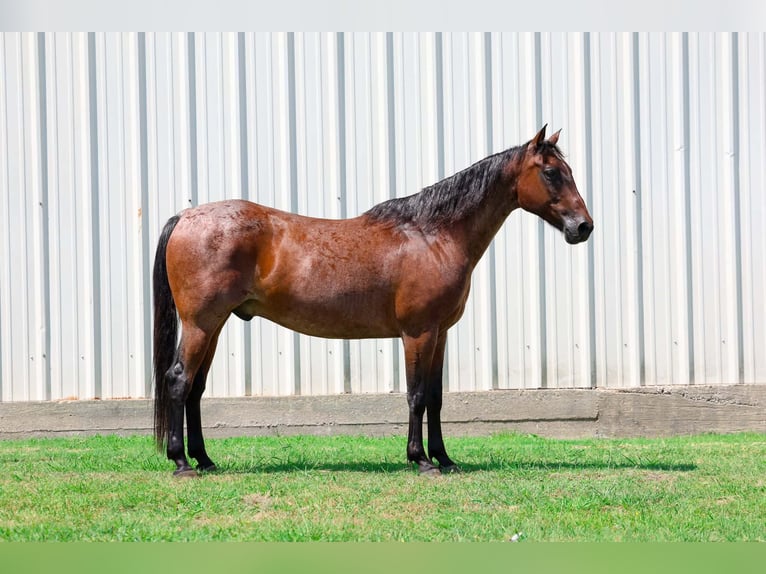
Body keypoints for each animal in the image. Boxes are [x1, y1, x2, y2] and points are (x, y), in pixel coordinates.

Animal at [152, 125, 593, 477]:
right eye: (552, 173)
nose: (583, 227)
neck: (433, 235)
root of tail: (184, 218)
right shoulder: (418, 333)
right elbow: (416, 395)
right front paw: (420, 460)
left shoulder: (440, 334)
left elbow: (435, 398)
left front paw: (445, 458)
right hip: (201, 324)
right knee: (178, 380)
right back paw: (181, 462)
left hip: (214, 325)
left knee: (196, 388)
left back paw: (205, 460)